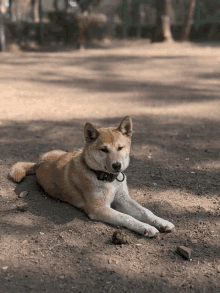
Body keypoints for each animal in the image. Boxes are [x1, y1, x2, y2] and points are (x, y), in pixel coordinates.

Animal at [8, 115, 174, 236]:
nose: (117, 166)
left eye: (120, 148)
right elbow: (127, 217)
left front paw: (161, 222)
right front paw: (146, 228)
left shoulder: (123, 199)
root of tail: (39, 160)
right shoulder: (99, 208)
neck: (109, 180)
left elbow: (145, 211)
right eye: (104, 150)